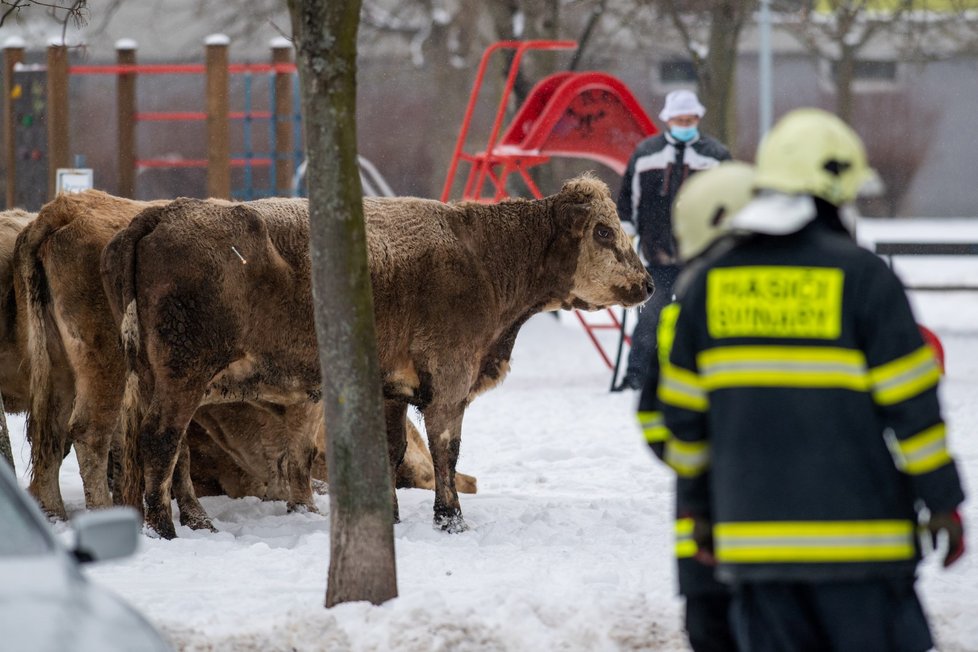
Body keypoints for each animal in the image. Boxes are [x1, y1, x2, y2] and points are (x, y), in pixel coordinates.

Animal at [103, 173, 648, 536]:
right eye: (603, 231)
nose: (647, 283)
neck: (480, 256)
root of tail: (164, 212)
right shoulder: (448, 383)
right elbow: (447, 452)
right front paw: (450, 520)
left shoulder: (393, 389)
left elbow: (391, 453)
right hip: (182, 375)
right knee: (160, 442)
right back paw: (163, 527)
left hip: (164, 380)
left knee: (175, 451)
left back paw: (196, 520)